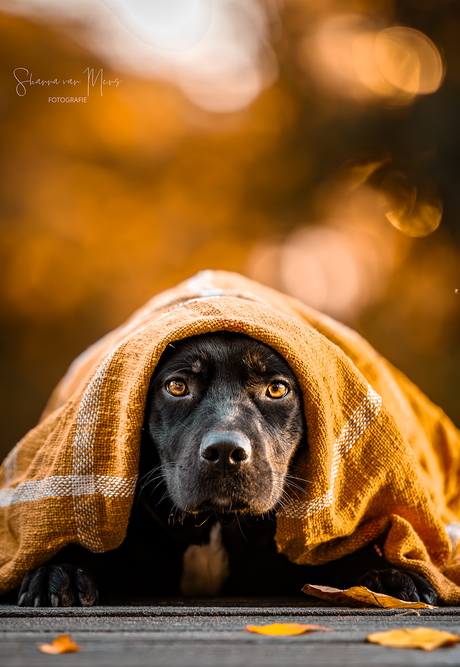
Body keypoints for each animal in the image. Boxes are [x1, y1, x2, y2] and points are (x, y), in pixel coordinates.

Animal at [18, 332, 436, 604]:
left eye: (277, 389)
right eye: (177, 386)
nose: (224, 452)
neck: (215, 525)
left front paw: (390, 576)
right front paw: (58, 570)